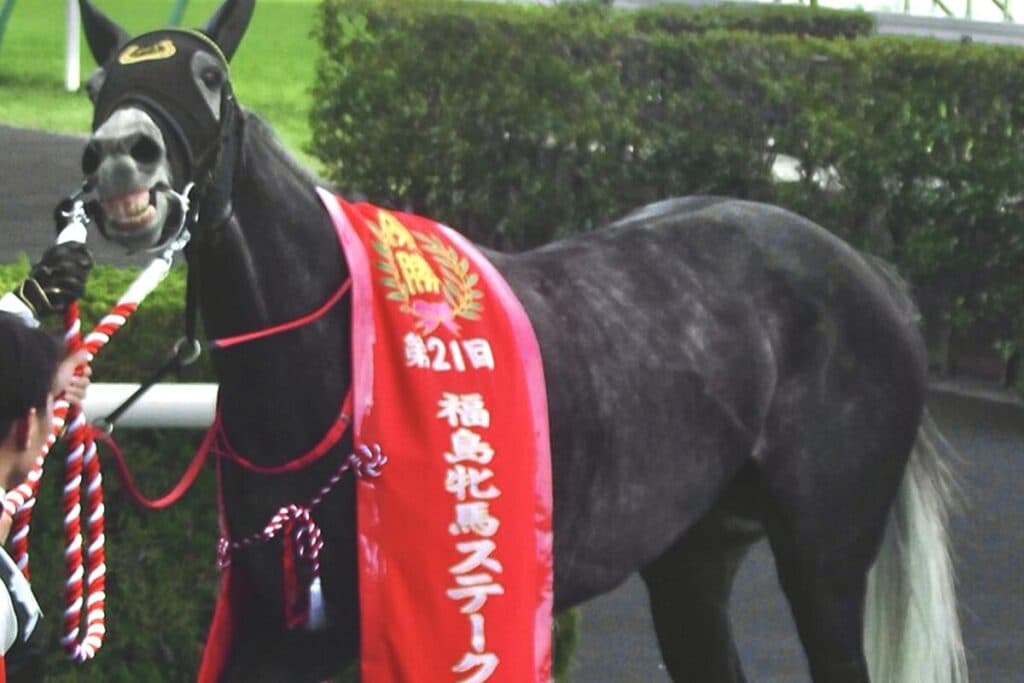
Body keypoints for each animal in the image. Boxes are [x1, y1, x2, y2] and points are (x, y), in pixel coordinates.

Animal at [74, 1, 967, 681]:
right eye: (102, 83)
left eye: (210, 77)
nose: (122, 156)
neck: (337, 359)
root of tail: (870, 273)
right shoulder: (274, 629)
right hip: (693, 557)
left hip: (825, 561)